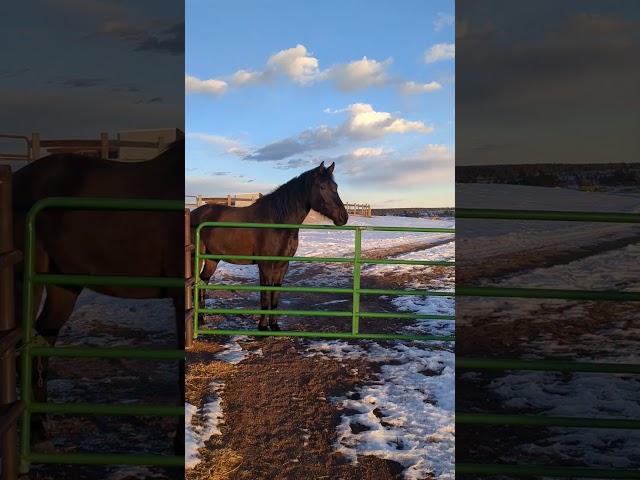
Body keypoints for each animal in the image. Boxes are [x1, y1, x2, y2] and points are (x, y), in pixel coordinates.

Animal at [10, 139, 185, 454]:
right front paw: (179, 443)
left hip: (63, 285)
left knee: (42, 341)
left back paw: (41, 427)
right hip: (26, 282)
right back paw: (34, 431)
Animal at [191, 161, 350, 330]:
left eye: (335, 186)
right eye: (322, 187)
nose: (343, 217)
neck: (277, 222)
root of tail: (194, 214)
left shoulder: (282, 265)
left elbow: (275, 295)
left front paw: (274, 325)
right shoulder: (266, 265)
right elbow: (265, 295)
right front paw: (262, 327)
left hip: (212, 259)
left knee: (203, 281)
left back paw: (201, 320)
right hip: (196, 258)